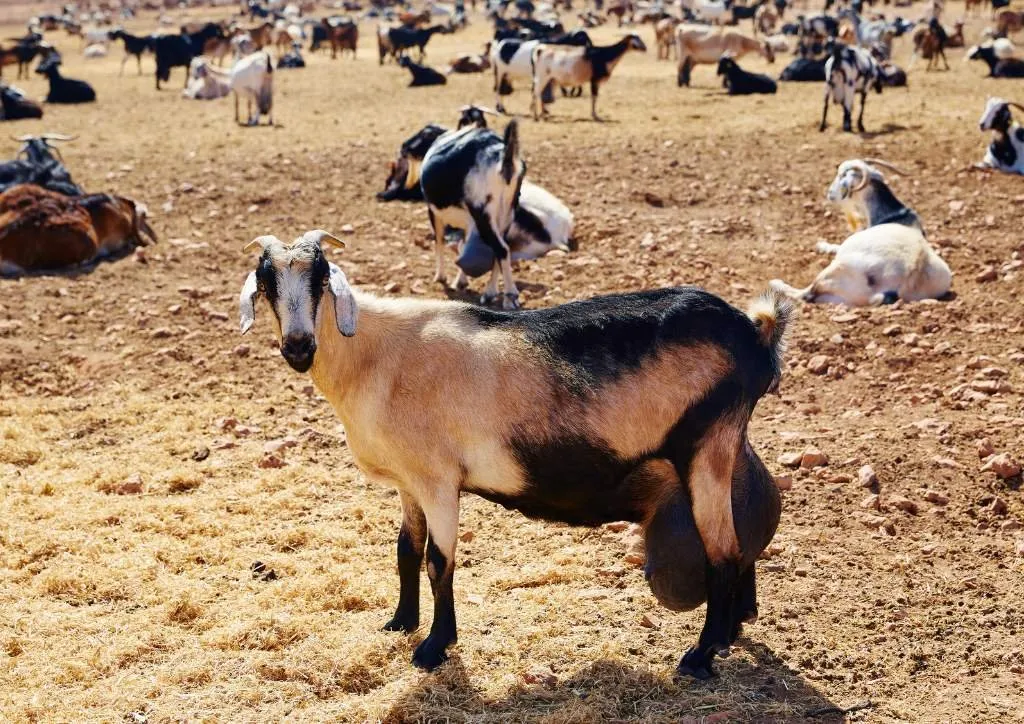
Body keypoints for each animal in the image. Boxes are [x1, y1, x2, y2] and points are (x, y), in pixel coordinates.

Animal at [239, 230, 790, 679]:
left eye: (321, 277)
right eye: (266, 281)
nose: (299, 346)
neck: (377, 356)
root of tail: (755, 330)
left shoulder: (439, 481)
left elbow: (439, 561)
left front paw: (435, 648)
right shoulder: (409, 482)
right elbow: (405, 551)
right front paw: (400, 623)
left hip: (706, 445)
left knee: (724, 551)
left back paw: (700, 656)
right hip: (722, 446)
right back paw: (733, 629)